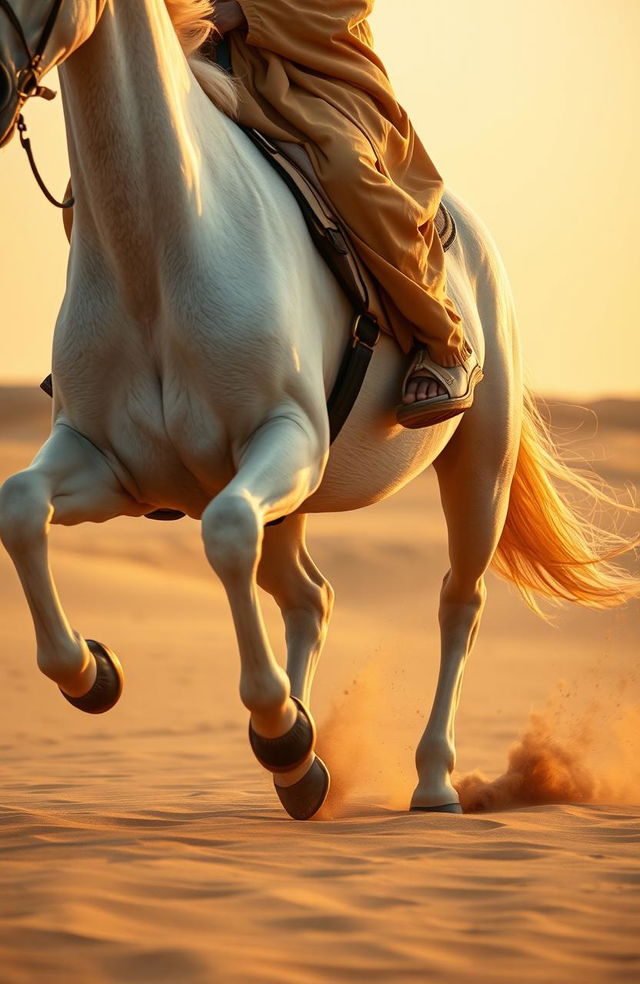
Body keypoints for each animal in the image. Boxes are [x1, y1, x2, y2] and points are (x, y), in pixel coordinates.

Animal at [0, 0, 636, 816]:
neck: (160, 250)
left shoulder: (288, 441)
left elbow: (225, 534)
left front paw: (279, 728)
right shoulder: (109, 464)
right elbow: (20, 508)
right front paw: (92, 674)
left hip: (478, 471)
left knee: (458, 604)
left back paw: (430, 780)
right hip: (294, 504)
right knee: (310, 597)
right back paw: (300, 773)